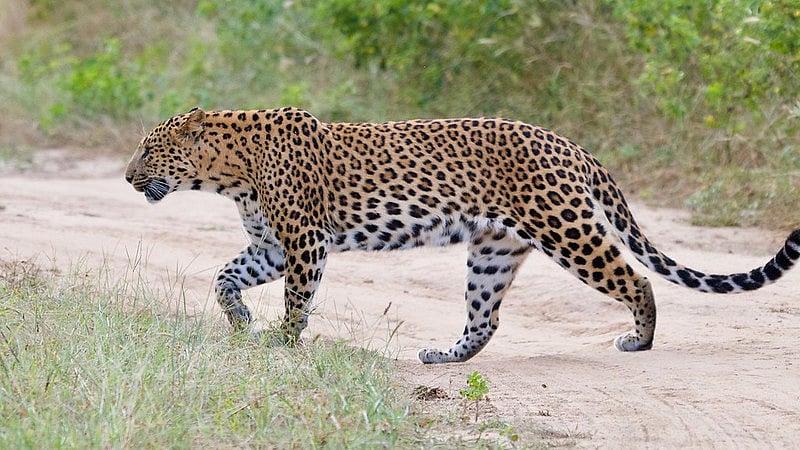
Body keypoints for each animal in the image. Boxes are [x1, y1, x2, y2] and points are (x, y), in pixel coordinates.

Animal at [125, 107, 800, 364]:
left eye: (149, 151)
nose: (128, 177)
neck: (228, 172)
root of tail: (570, 144)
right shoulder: (271, 244)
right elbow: (225, 275)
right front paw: (240, 318)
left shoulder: (304, 241)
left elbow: (297, 299)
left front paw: (282, 343)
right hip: (494, 251)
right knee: (486, 316)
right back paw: (446, 356)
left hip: (567, 228)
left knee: (635, 278)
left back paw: (641, 340)